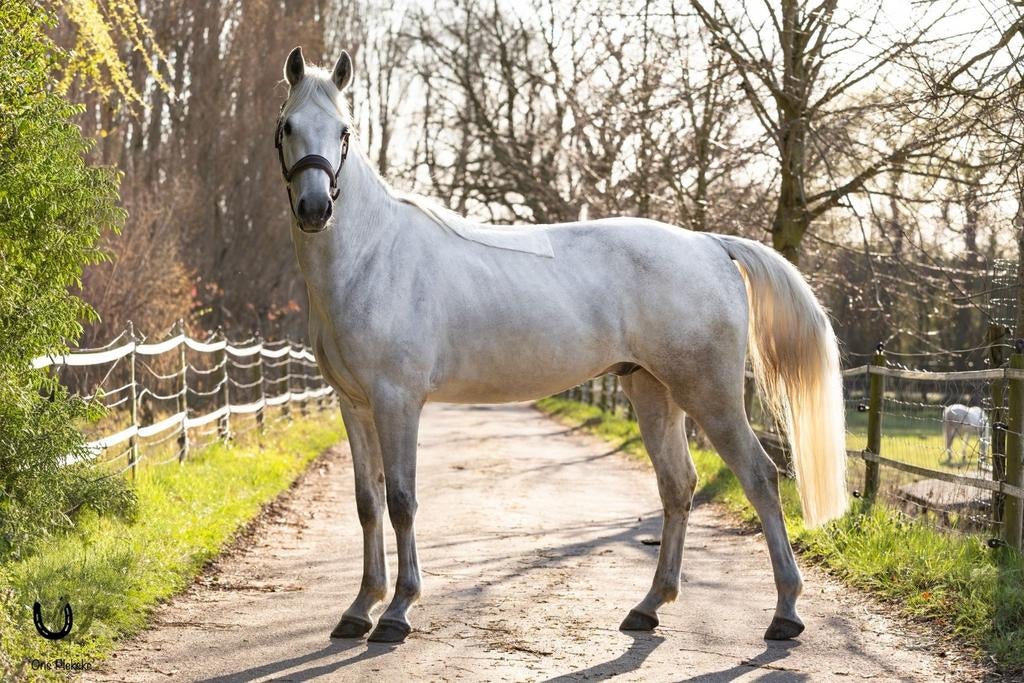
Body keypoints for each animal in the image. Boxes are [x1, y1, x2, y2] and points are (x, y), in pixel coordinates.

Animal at [274, 47, 848, 644]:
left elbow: (402, 502)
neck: (371, 258)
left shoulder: (397, 401)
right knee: (677, 486)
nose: (315, 209)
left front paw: (397, 611)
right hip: (653, 391)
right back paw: (649, 606)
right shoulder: (355, 404)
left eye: (343, 131)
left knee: (760, 477)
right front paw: (359, 608)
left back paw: (785, 613)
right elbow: (367, 503)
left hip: (709, 395)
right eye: (287, 126)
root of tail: (710, 244)